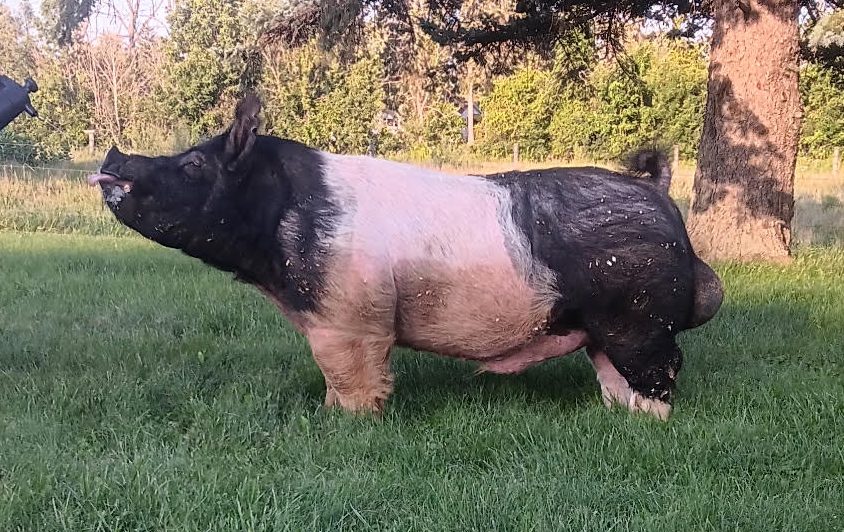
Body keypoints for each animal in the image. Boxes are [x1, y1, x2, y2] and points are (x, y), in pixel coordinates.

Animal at [87, 93, 722, 420]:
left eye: (195, 164)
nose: (114, 157)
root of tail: (657, 195)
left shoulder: (349, 318)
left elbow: (349, 372)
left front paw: (344, 423)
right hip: (608, 328)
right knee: (614, 372)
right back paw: (617, 417)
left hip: (641, 318)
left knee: (663, 369)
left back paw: (646, 423)